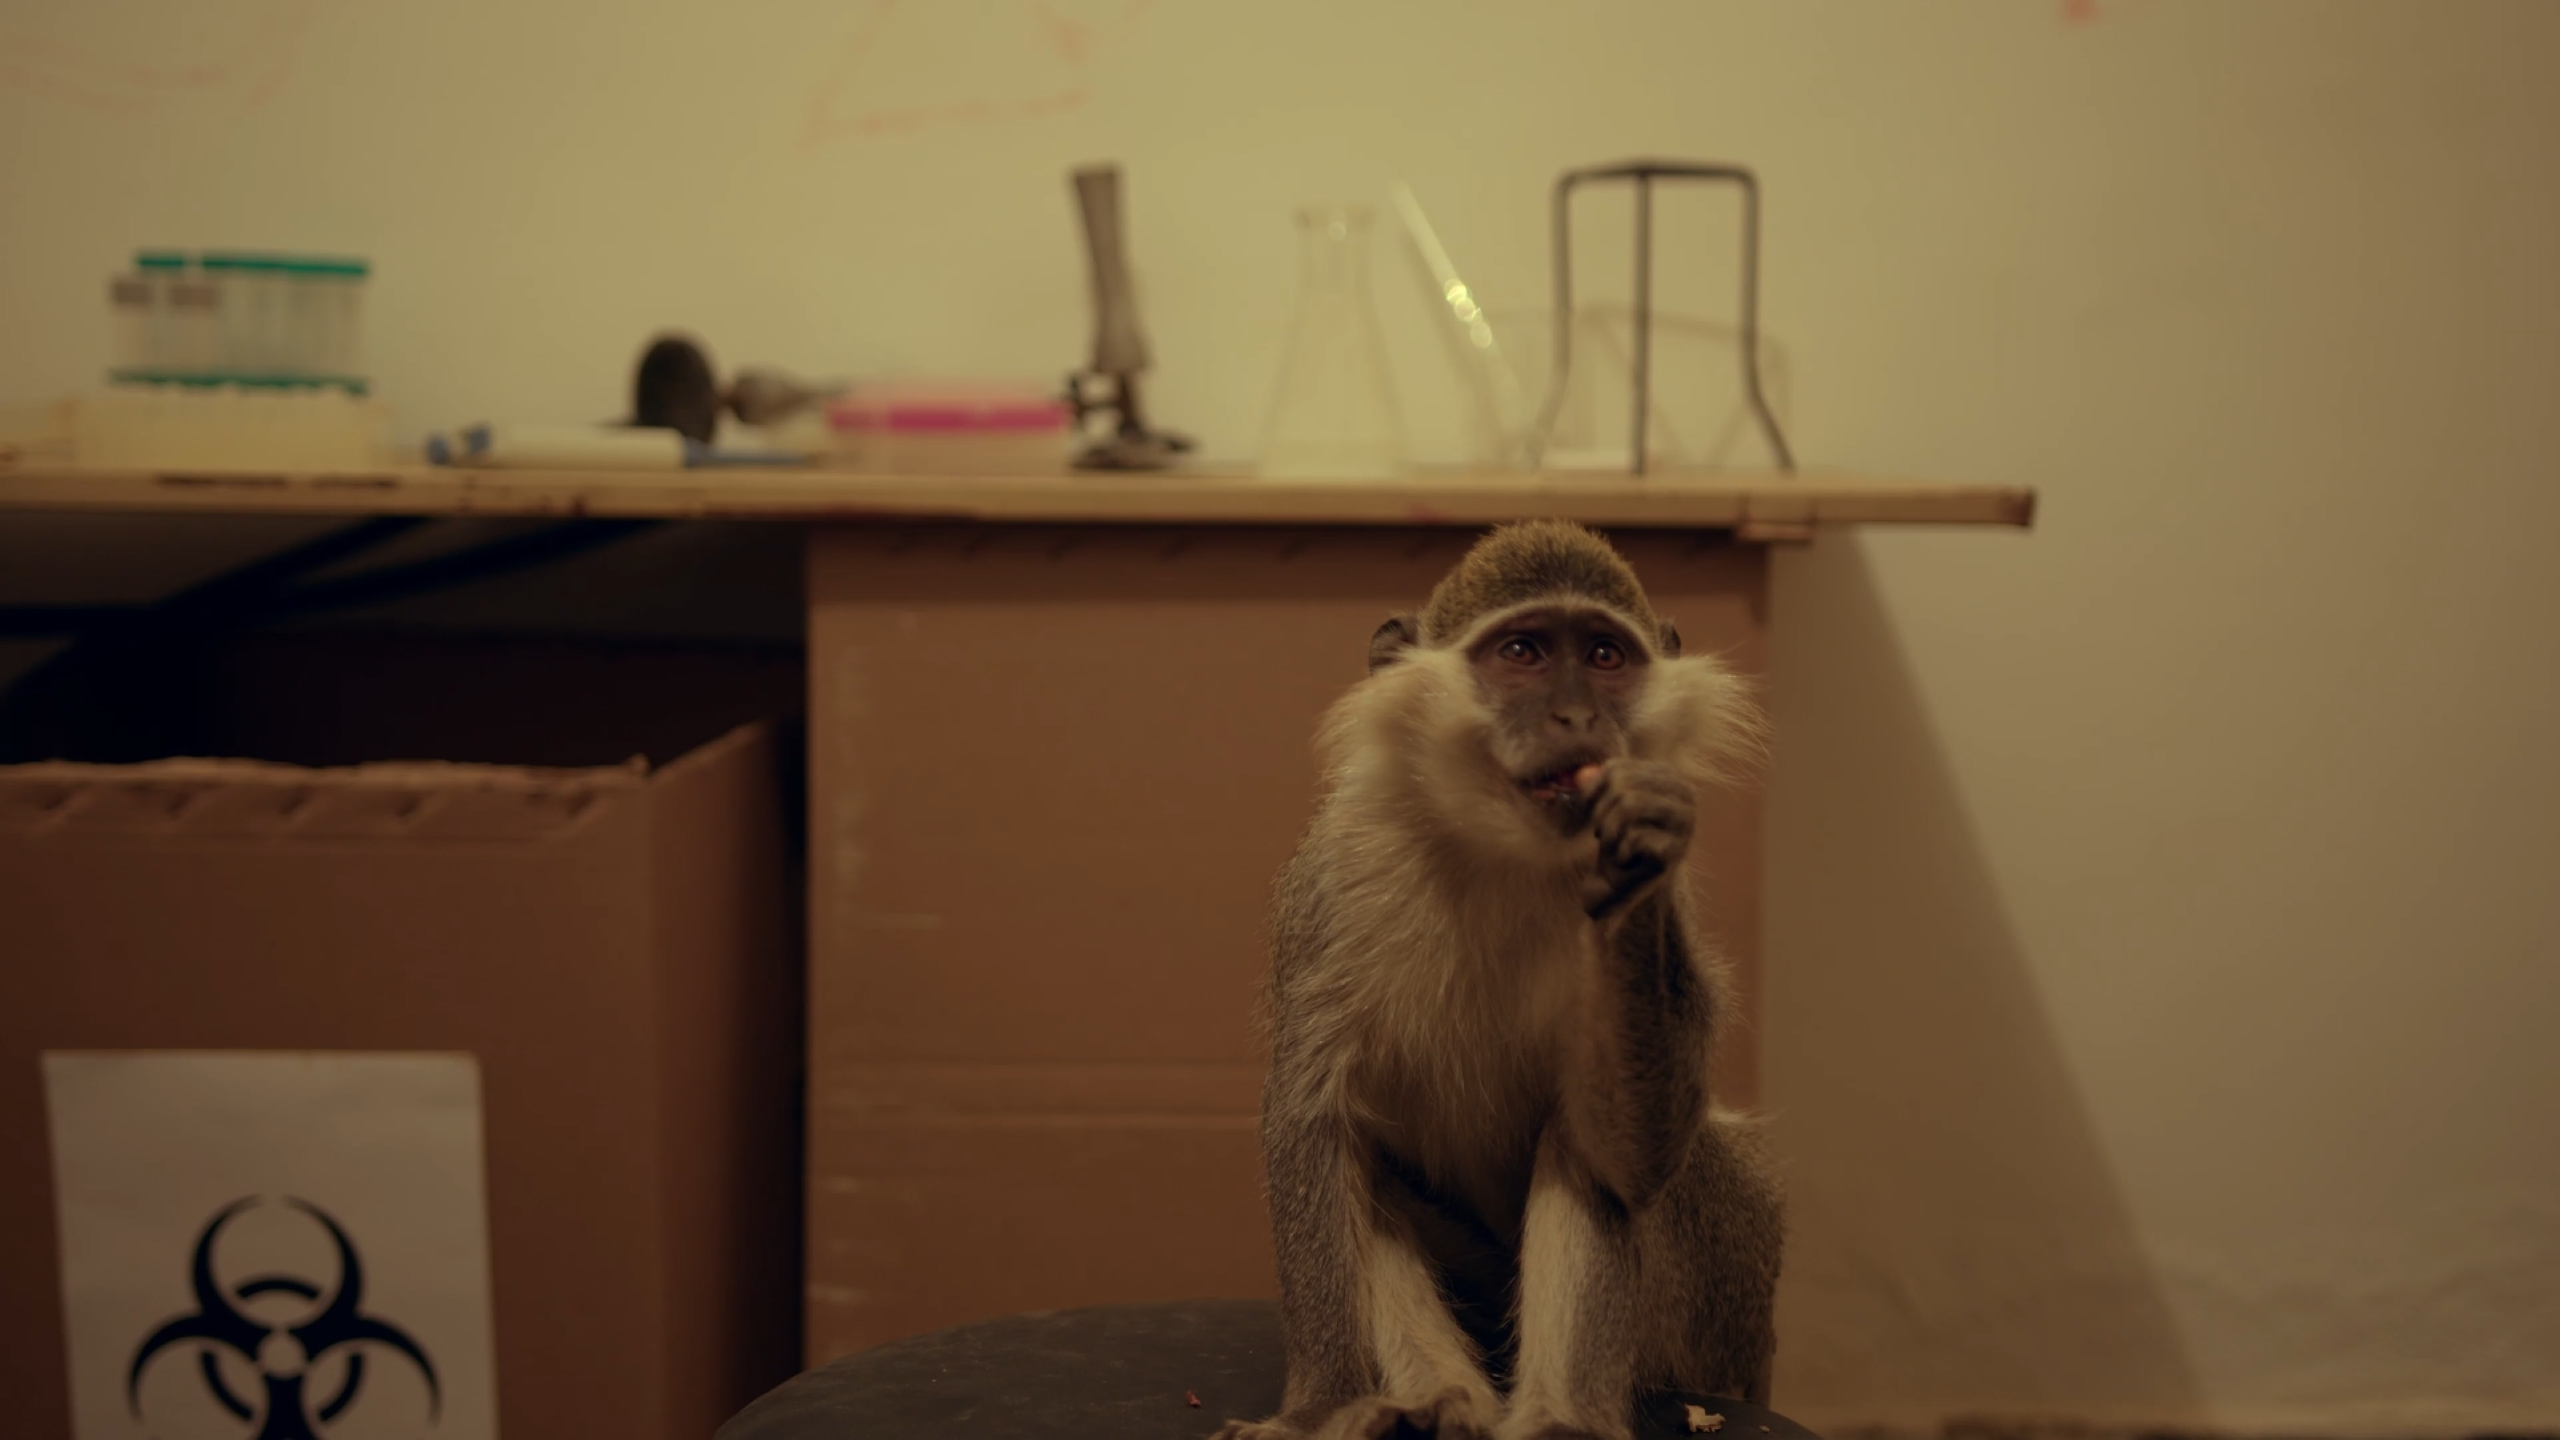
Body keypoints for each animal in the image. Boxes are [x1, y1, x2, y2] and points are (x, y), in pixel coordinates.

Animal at [1214, 521, 1783, 1440]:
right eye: (1522, 652)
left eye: (1603, 656)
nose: (1577, 717)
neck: (1499, 848)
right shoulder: (1331, 886)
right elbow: (1313, 1118)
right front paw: (1321, 1407)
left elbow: (1627, 1158)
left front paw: (1638, 856)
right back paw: (1435, 1402)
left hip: (1704, 1312)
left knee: (1582, 1145)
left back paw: (1561, 1418)